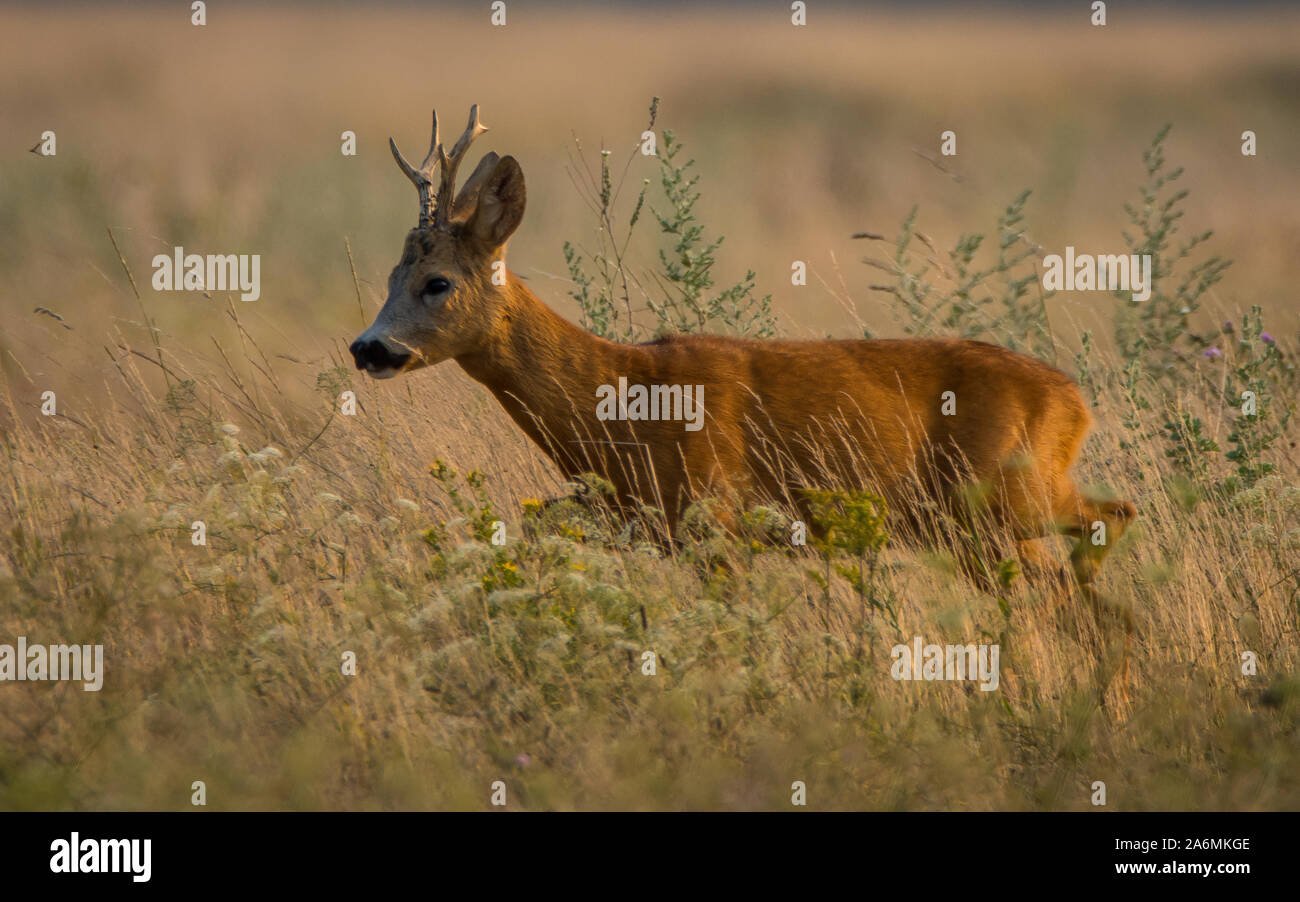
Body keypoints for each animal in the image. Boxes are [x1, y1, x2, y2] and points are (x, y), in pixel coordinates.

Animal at [353, 107, 1138, 592]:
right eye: (388, 276)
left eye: (436, 282)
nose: (367, 347)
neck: (623, 396)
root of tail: (1074, 401)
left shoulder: (718, 518)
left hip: (1001, 497)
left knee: (1107, 530)